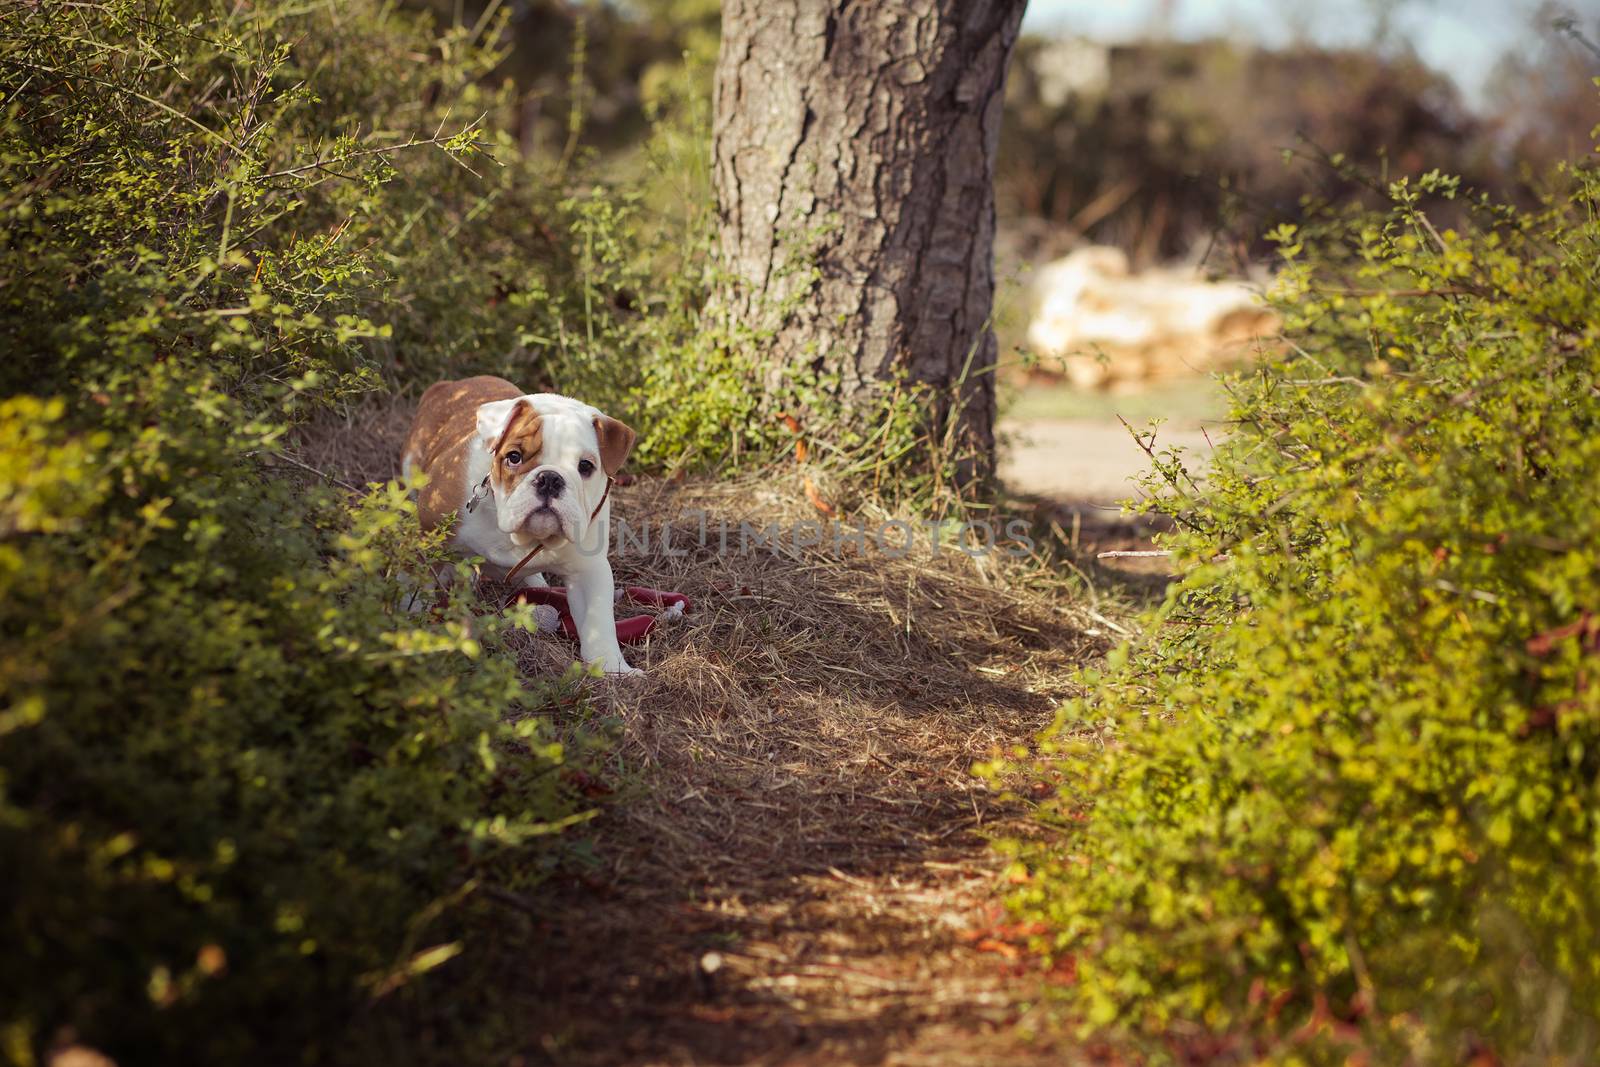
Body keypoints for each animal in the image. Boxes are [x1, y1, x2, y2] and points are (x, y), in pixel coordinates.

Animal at [403, 375, 640, 675]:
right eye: (513, 457)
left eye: (586, 466)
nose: (550, 479)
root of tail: (449, 384)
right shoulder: (425, 536)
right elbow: (412, 588)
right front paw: (409, 625)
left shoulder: (589, 569)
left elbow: (599, 621)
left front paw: (613, 667)